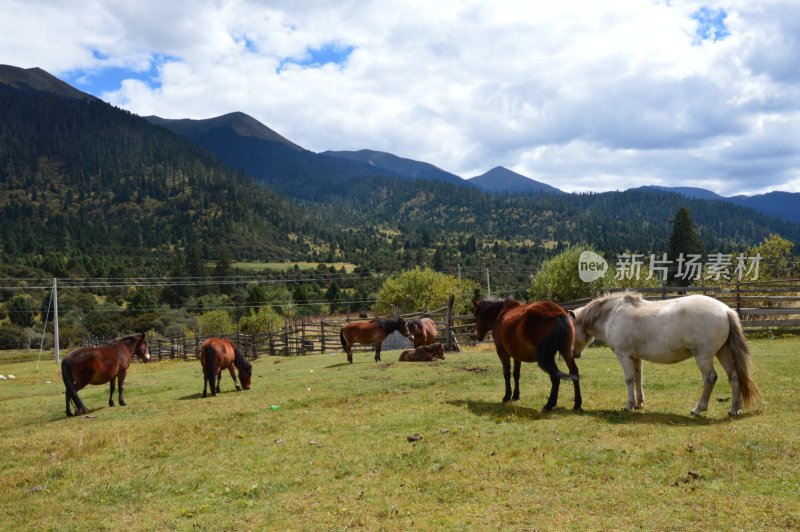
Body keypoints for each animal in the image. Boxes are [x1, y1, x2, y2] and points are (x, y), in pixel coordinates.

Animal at [572, 290, 760, 416]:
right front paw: (639, 403)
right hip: (722, 352)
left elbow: (629, 379)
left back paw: (698, 409)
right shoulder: (635, 357)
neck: (613, 314)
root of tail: (725, 309)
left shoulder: (624, 356)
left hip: (704, 356)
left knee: (710, 378)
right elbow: (638, 378)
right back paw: (734, 409)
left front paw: (629, 405)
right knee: (734, 376)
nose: (574, 354)